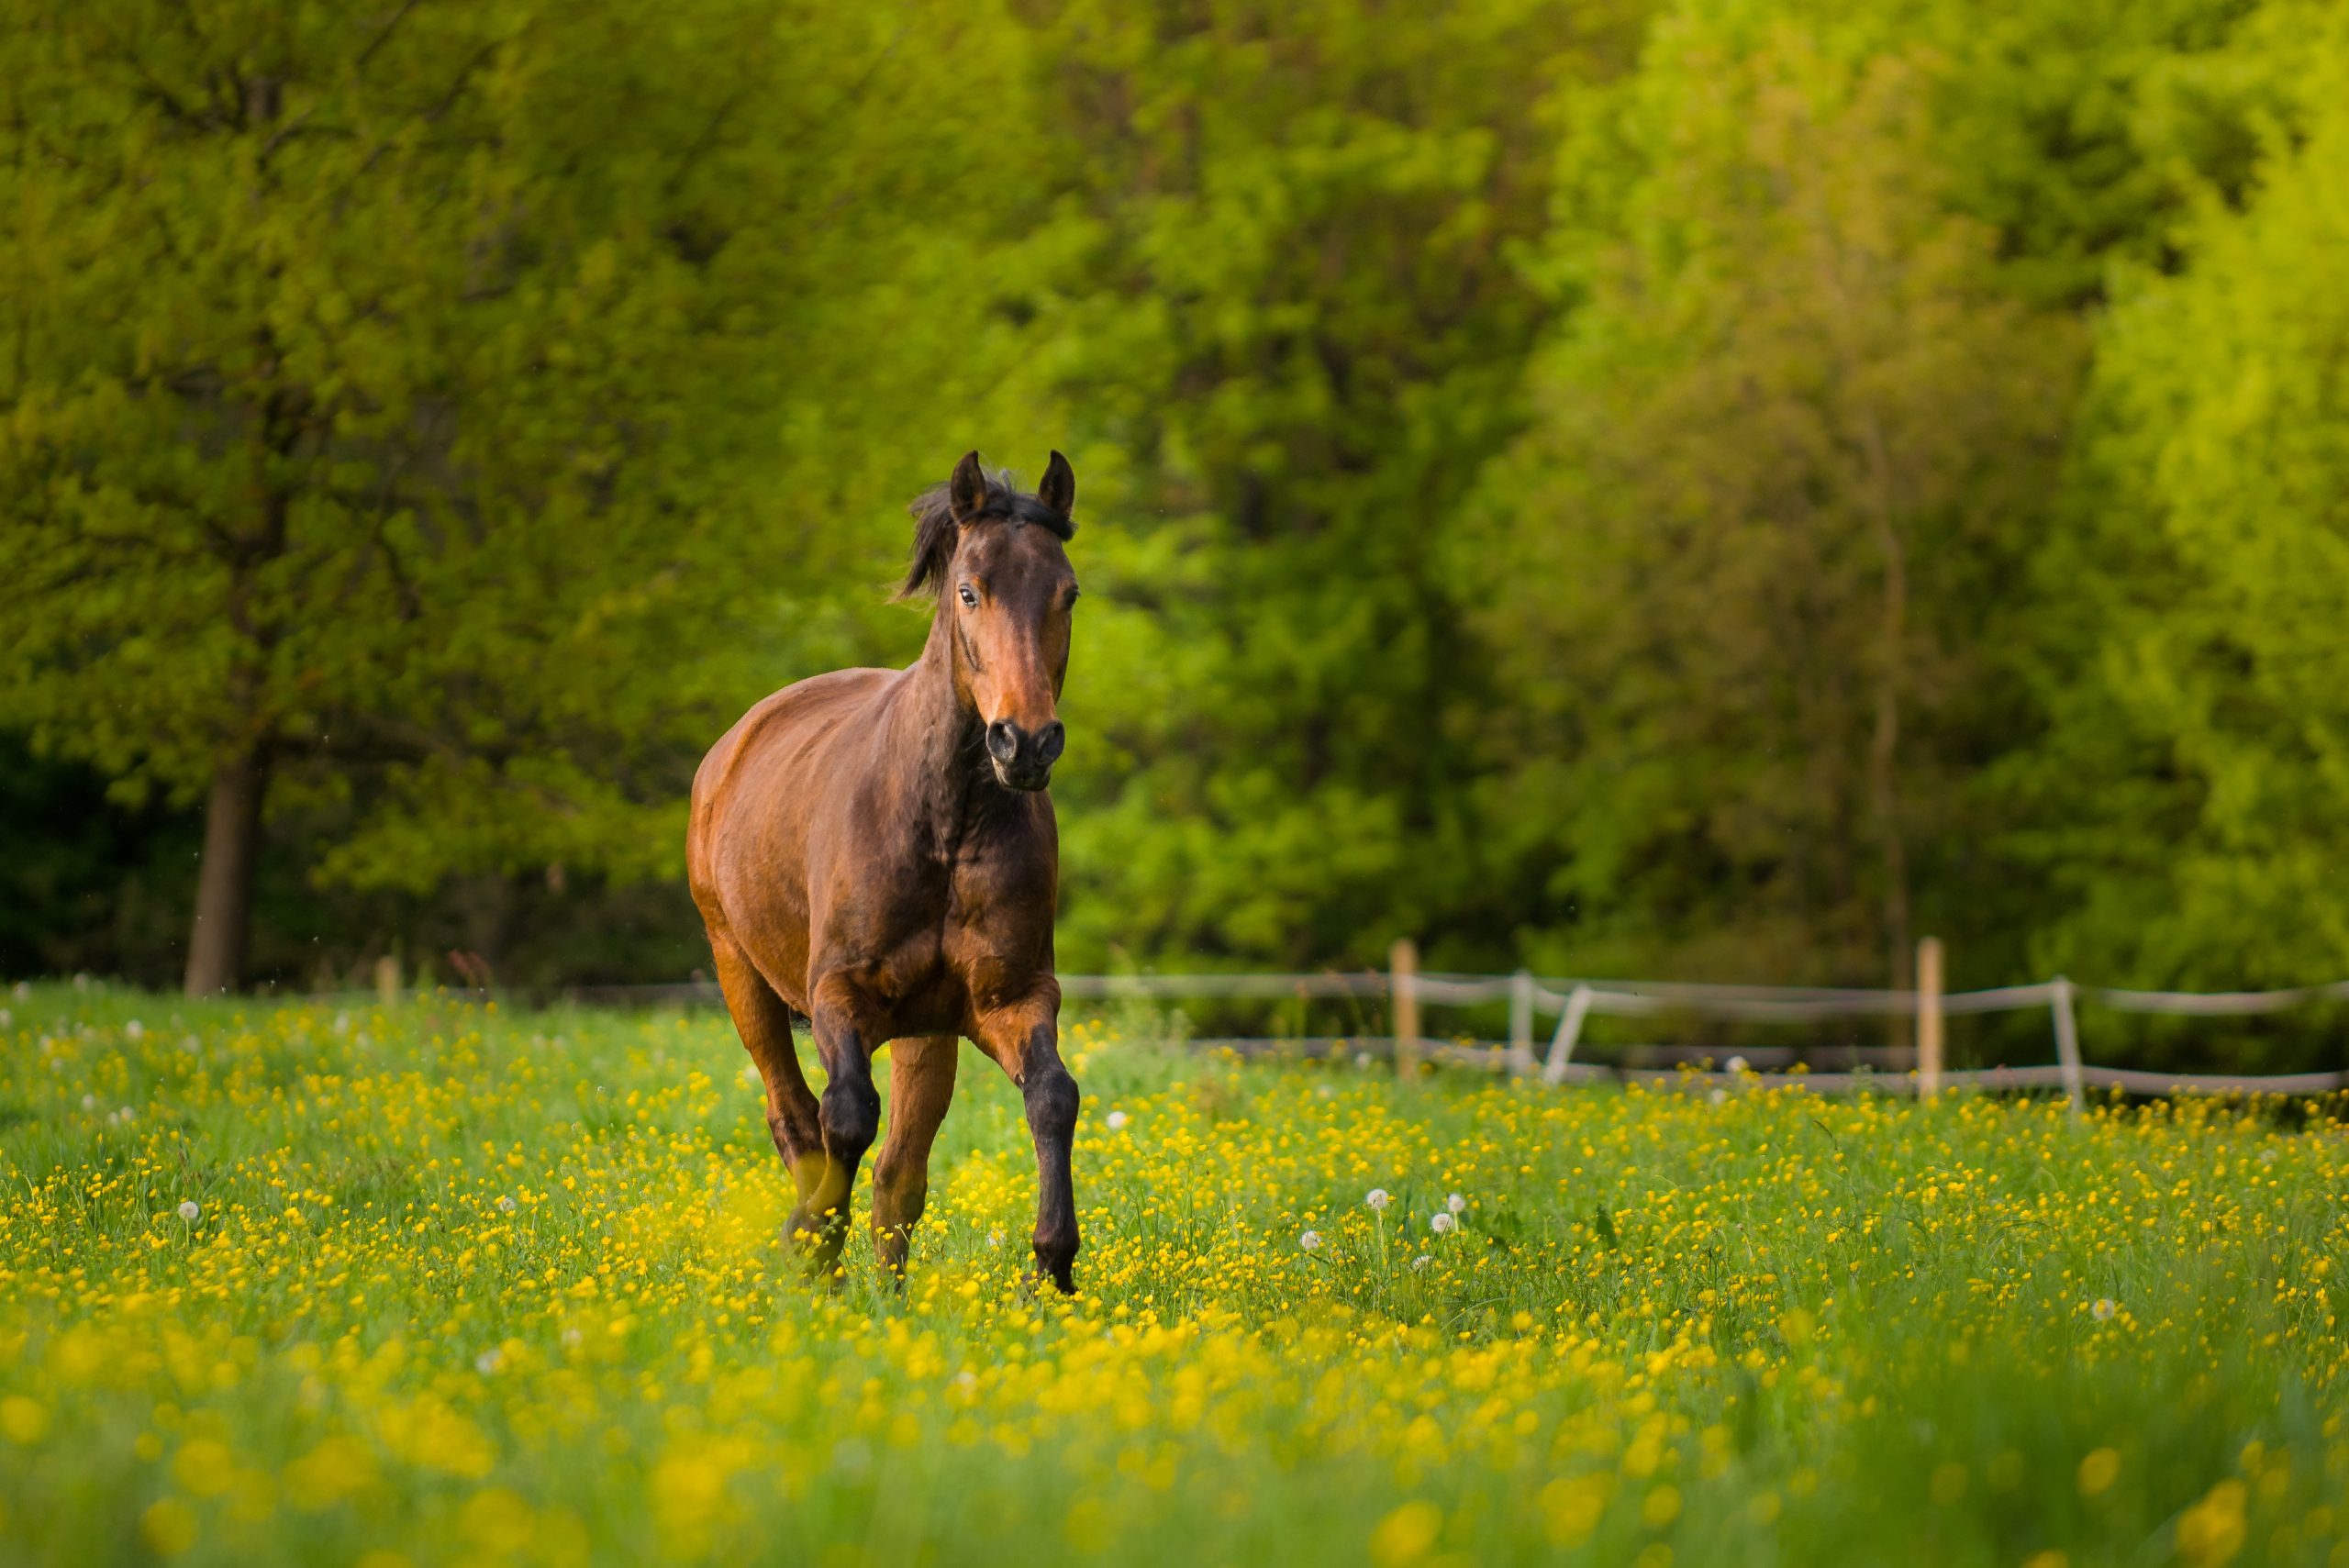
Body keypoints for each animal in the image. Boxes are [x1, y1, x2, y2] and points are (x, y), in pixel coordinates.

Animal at [681, 446, 1080, 1296]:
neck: (944, 824)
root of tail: (731, 747)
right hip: (738, 971)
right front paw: (811, 1243)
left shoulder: (1009, 998)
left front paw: (1052, 1267)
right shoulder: (840, 991)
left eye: (1067, 592)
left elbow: (1052, 1097)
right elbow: (845, 1113)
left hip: (926, 1032)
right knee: (796, 1116)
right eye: (969, 590)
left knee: (901, 1173)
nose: (1026, 741)